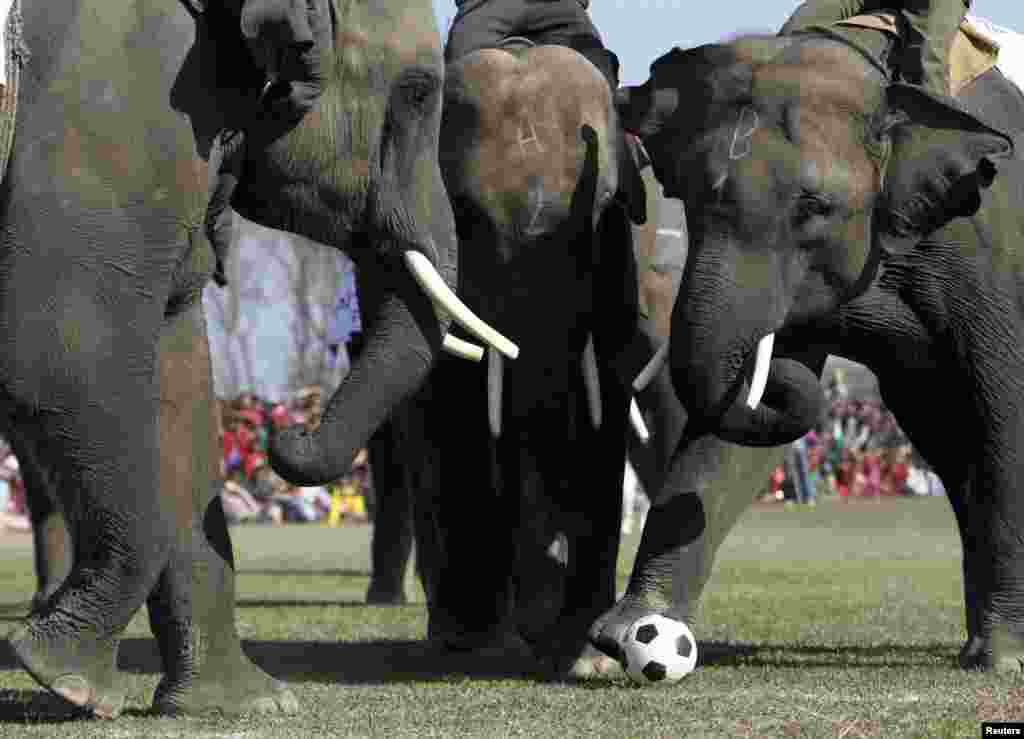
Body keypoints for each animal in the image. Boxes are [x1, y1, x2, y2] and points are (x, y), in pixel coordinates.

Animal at [7, 0, 515, 719]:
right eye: (418, 92)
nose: (285, 432)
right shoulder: (107, 97)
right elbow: (58, 353)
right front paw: (66, 677)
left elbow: (180, 382)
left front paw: (246, 705)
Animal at [594, 15, 1024, 672]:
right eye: (688, 195)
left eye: (815, 207)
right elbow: (732, 437)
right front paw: (630, 632)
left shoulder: (991, 245)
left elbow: (1006, 406)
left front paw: (1004, 662)